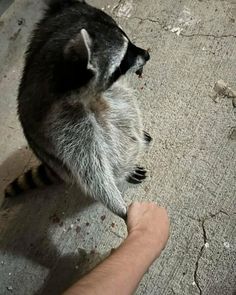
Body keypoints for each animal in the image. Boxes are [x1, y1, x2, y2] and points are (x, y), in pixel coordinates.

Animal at [5, 0, 151, 217]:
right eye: (123, 59)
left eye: (129, 41)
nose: (147, 54)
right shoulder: (63, 121)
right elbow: (90, 165)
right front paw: (119, 202)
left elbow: (124, 103)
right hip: (60, 159)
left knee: (123, 102)